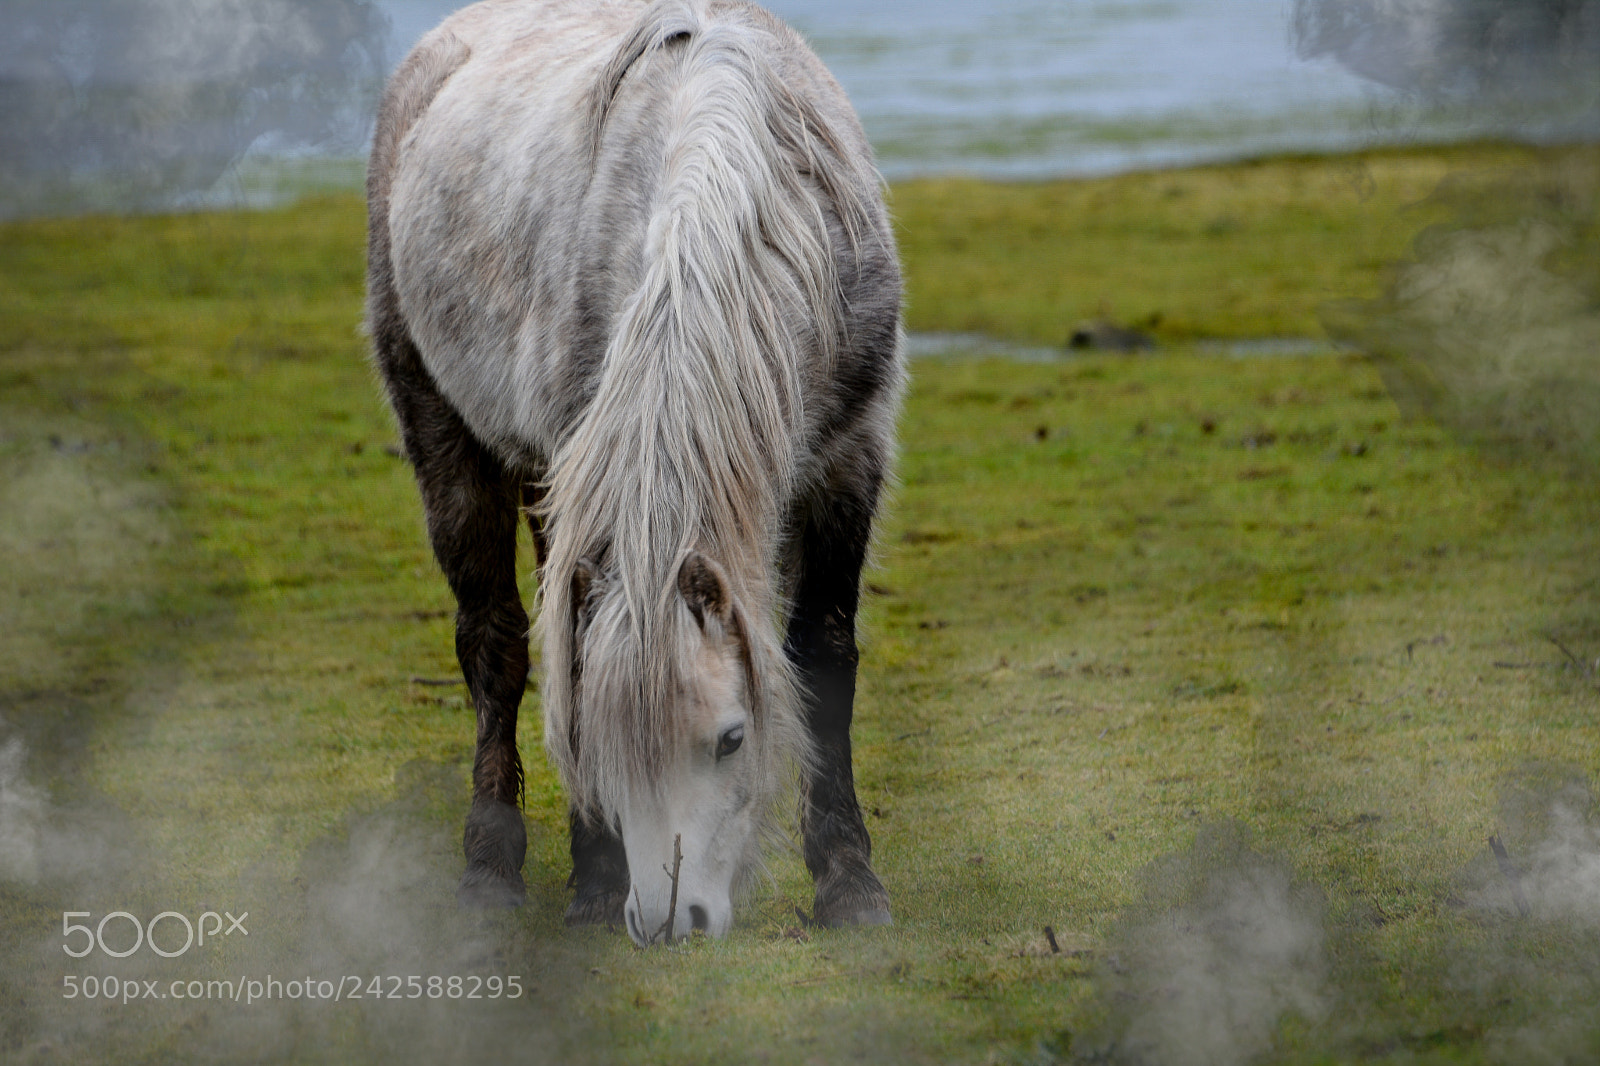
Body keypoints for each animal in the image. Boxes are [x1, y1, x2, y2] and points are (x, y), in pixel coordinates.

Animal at [365, 0, 903, 944]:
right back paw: (501, 873)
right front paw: (591, 878)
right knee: (496, 646)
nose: (667, 920)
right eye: (604, 753)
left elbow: (825, 657)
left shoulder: (850, 459)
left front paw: (850, 883)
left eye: (731, 738)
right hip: (444, 432)